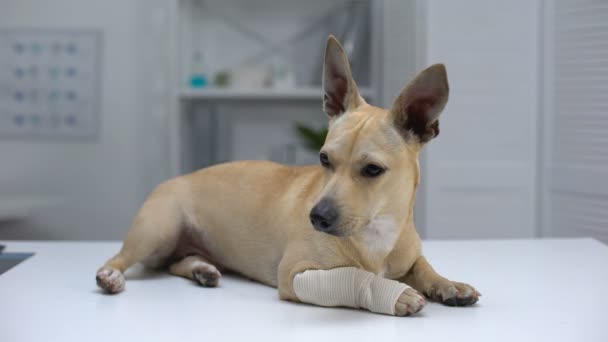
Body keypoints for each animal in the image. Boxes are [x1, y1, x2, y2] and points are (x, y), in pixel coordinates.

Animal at [96, 36, 480, 316]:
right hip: (156, 231)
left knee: (175, 263)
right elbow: (350, 277)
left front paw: (448, 284)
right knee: (122, 258)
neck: (376, 234)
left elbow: (424, 266)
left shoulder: (409, 255)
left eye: (373, 170)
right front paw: (397, 294)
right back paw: (111, 276)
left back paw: (201, 270)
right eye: (324, 159)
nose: (317, 217)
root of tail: (175, 178)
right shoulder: (296, 274)